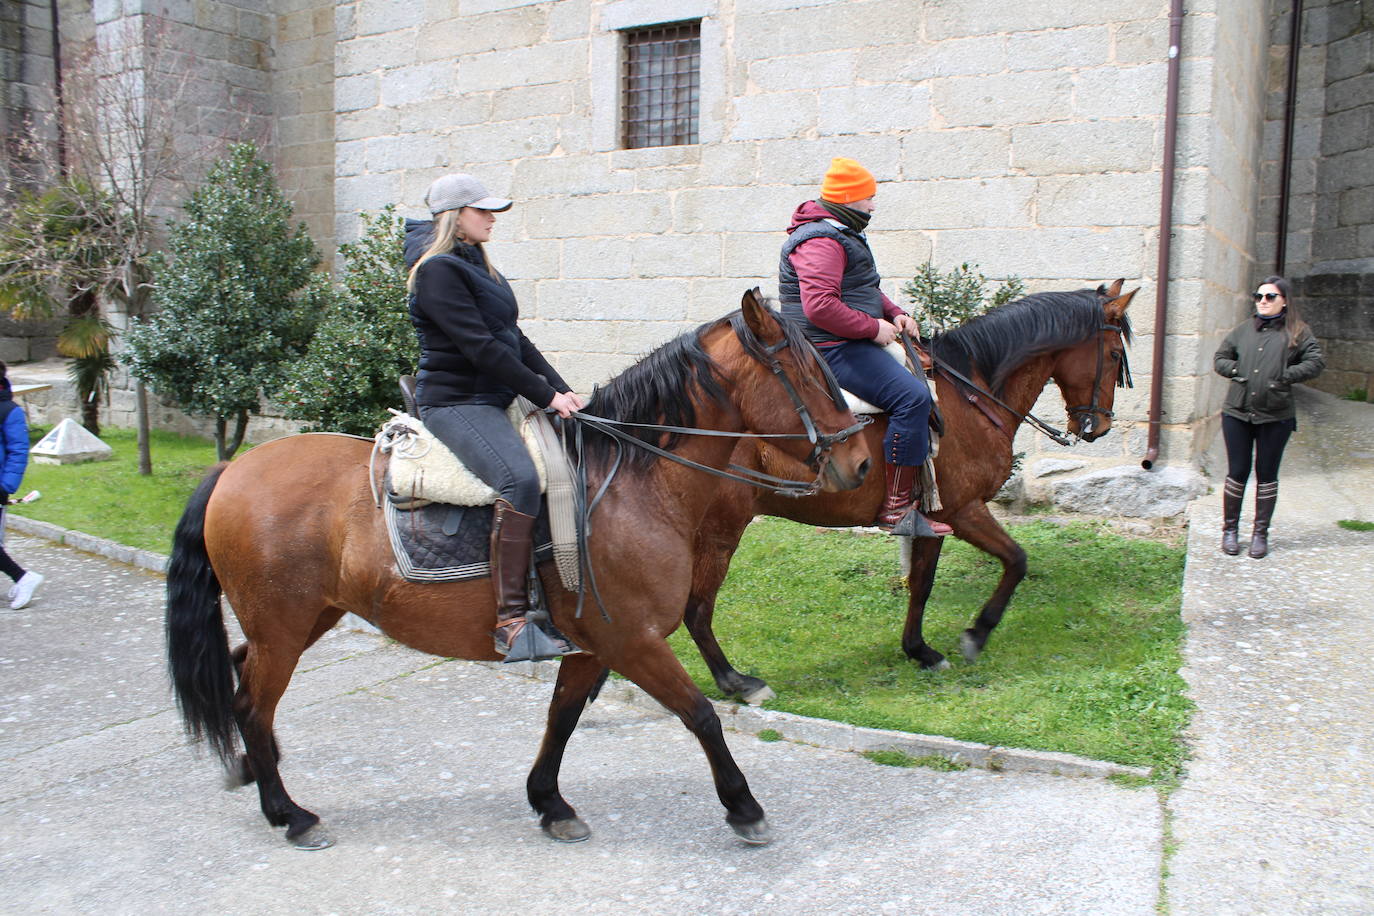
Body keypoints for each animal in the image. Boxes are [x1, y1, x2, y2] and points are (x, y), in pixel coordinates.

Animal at [163, 292, 868, 845]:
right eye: (807, 374)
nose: (859, 463)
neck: (630, 485)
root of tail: (232, 469)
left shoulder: (593, 644)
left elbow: (563, 717)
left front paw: (550, 802)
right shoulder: (632, 640)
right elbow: (700, 715)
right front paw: (743, 806)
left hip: (308, 616)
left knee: (242, 673)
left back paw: (256, 774)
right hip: (284, 623)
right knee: (253, 701)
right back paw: (290, 813)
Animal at [684, 281, 1137, 703]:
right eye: (1115, 355)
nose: (1099, 426)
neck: (972, 395)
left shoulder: (932, 520)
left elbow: (923, 582)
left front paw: (918, 649)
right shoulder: (960, 510)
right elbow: (1012, 562)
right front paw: (975, 634)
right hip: (721, 529)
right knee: (697, 609)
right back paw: (737, 682)